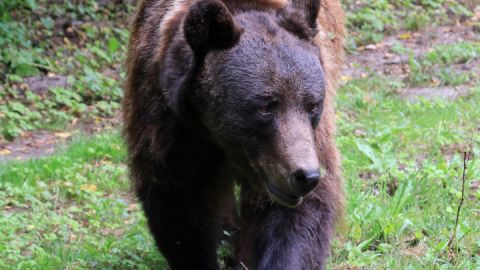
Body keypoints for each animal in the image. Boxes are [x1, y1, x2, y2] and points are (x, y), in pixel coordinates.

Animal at [124, 0, 344, 268]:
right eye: (266, 106)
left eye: (313, 104)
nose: (305, 176)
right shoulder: (169, 123)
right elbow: (179, 202)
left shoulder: (301, 144)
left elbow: (294, 216)